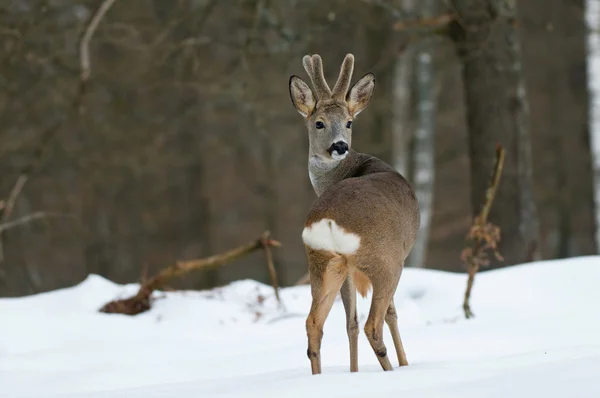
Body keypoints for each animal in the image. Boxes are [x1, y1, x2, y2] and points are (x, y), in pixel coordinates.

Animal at [288, 53, 420, 376]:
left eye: (349, 122)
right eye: (319, 123)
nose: (340, 146)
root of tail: (329, 219)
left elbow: (350, 322)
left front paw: (354, 370)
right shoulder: (397, 254)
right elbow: (391, 314)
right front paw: (406, 363)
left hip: (324, 262)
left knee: (314, 322)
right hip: (383, 261)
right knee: (375, 322)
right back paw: (391, 369)